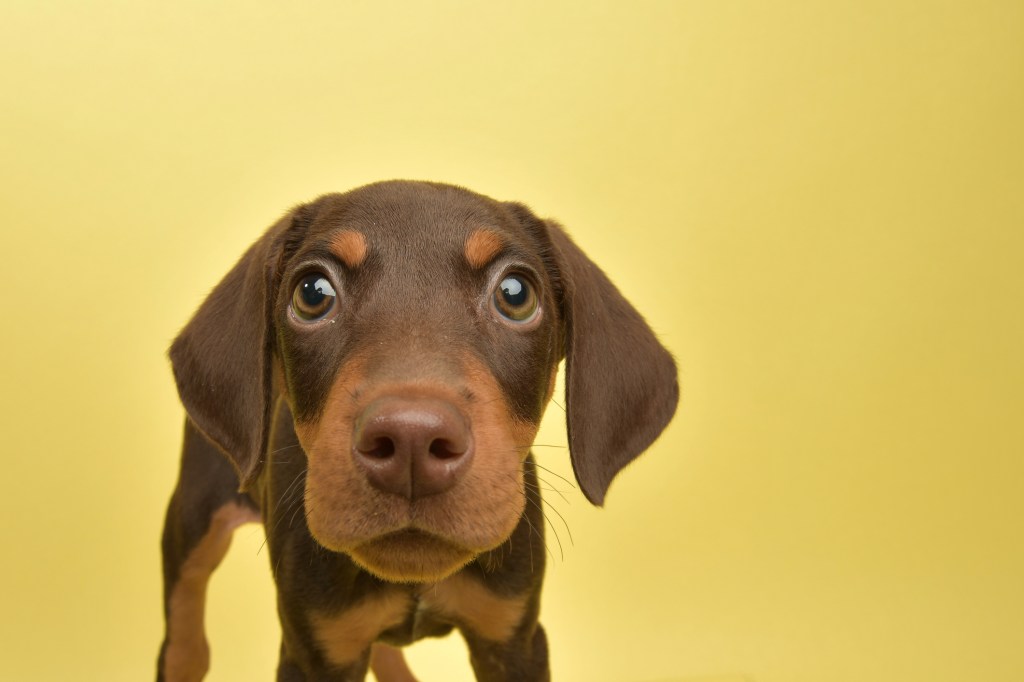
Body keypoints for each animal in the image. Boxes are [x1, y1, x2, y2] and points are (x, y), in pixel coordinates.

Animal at [155, 180, 675, 679]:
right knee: (184, 643)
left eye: (515, 293)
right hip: (193, 516)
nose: (411, 442)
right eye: (312, 292)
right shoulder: (315, 650)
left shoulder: (514, 638)